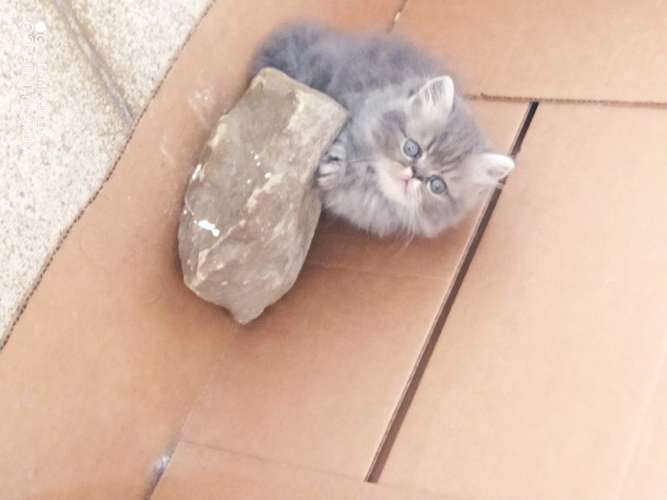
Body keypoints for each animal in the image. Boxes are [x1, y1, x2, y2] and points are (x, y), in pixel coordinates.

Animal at [251, 22, 514, 238]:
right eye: (412, 148)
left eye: (437, 185)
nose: (413, 173)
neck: (372, 185)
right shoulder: (351, 110)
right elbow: (343, 145)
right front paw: (334, 168)